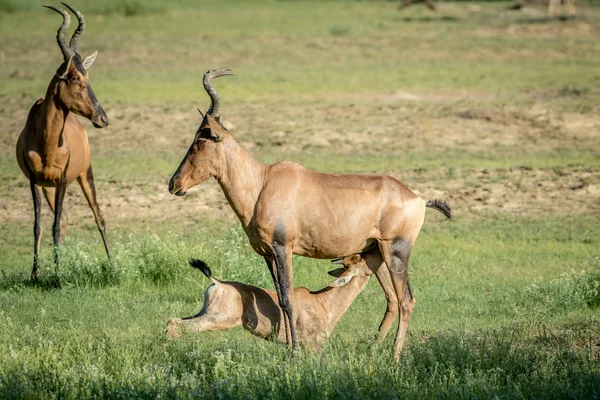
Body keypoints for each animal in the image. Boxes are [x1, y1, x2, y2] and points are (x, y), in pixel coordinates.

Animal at [164, 252, 382, 348]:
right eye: (359, 258)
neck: (321, 300)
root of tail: (217, 282)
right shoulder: (311, 345)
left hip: (203, 312)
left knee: (172, 321)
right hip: (217, 319)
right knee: (181, 327)